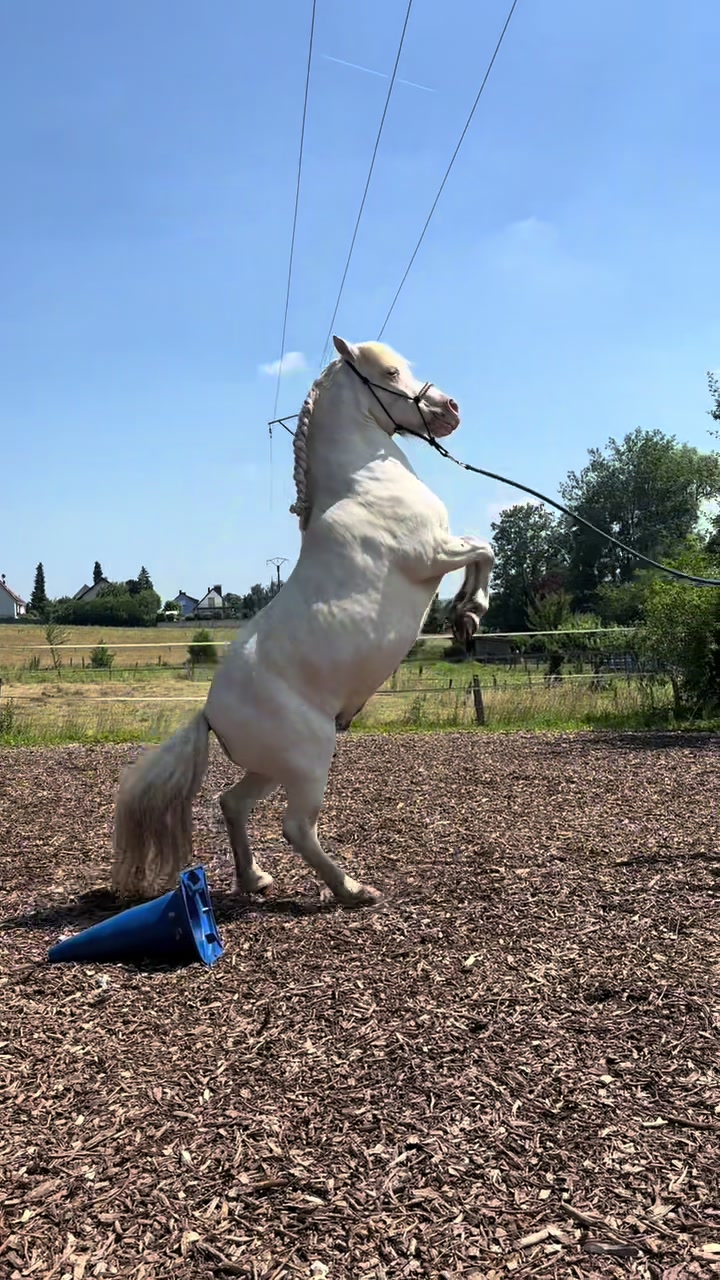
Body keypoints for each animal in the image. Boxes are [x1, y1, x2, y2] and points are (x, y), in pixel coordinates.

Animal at [111, 336, 495, 906]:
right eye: (391, 372)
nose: (450, 408)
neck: (365, 483)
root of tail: (210, 714)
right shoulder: (433, 553)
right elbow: (483, 548)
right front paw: (469, 611)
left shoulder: (440, 550)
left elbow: (481, 549)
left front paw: (465, 617)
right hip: (311, 759)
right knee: (296, 827)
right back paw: (352, 889)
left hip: (274, 768)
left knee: (232, 804)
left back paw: (255, 879)